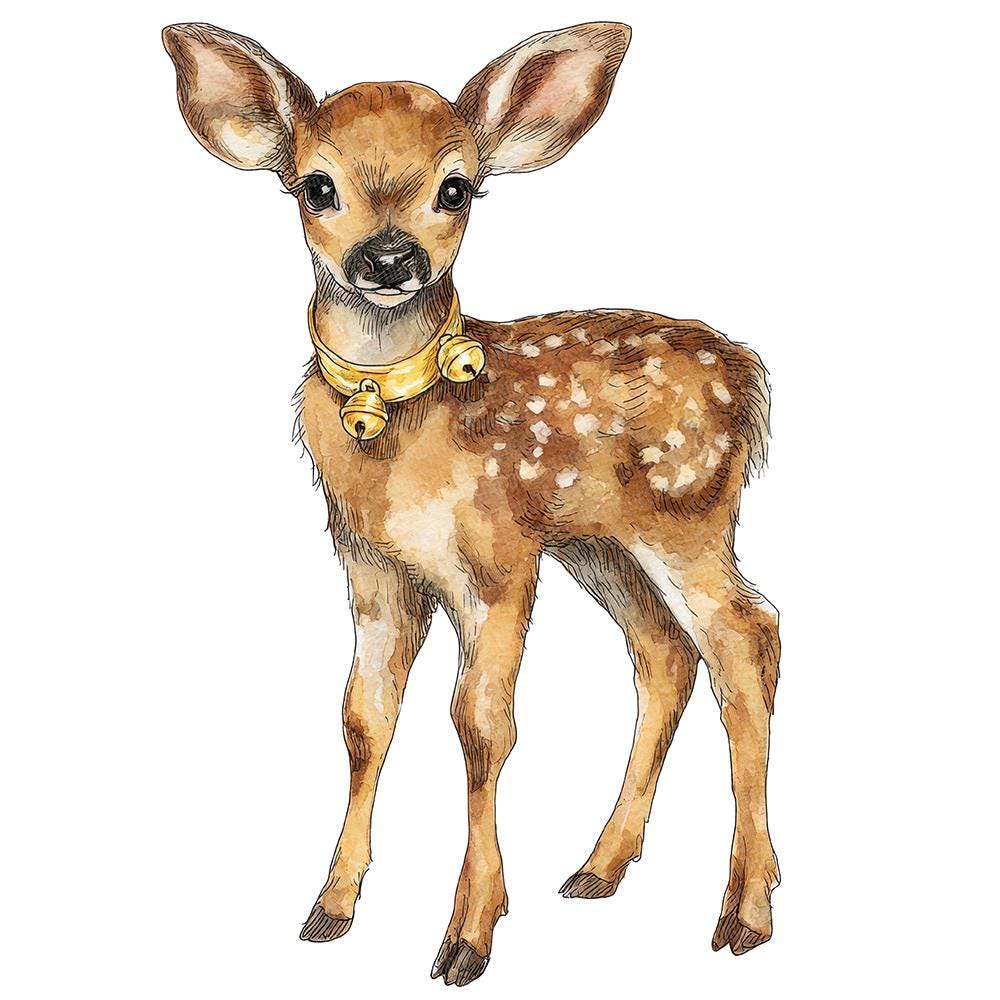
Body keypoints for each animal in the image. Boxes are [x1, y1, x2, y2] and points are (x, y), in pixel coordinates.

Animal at [163, 20, 781, 986]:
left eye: (455, 187)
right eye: (316, 185)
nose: (390, 259)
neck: (402, 442)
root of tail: (748, 374)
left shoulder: (497, 559)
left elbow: (482, 725)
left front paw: (467, 936)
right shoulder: (371, 564)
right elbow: (363, 717)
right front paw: (330, 907)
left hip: (690, 516)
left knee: (748, 641)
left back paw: (745, 911)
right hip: (599, 544)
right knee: (665, 654)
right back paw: (600, 868)